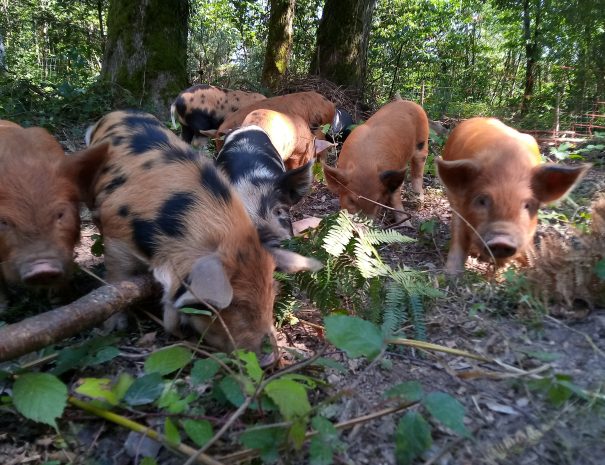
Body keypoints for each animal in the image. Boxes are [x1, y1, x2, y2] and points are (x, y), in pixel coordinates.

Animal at [436, 118, 588, 274]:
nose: (501, 241)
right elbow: (459, 234)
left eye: (527, 205)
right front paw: (451, 275)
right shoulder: (459, 204)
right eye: (482, 201)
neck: (508, 171)